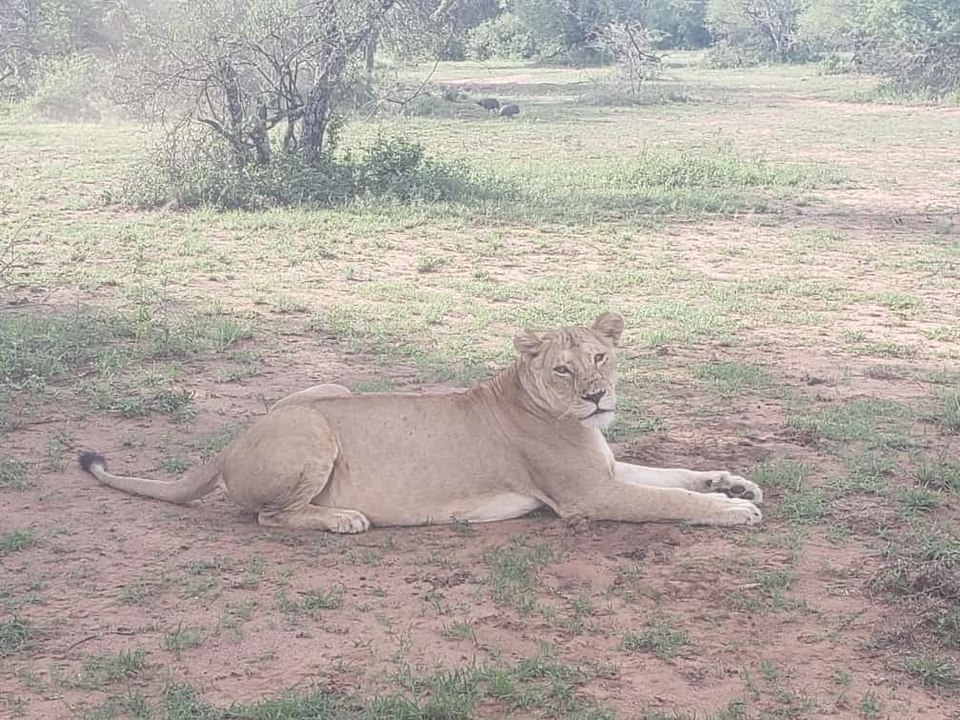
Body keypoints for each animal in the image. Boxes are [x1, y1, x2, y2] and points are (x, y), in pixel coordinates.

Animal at [78, 312, 763, 533]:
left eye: (600, 357)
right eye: (563, 370)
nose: (596, 397)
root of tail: (227, 444)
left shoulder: (608, 469)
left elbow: (676, 475)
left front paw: (732, 482)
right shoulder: (588, 496)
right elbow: (672, 501)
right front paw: (733, 510)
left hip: (328, 391)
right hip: (313, 430)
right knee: (271, 517)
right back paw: (344, 520)